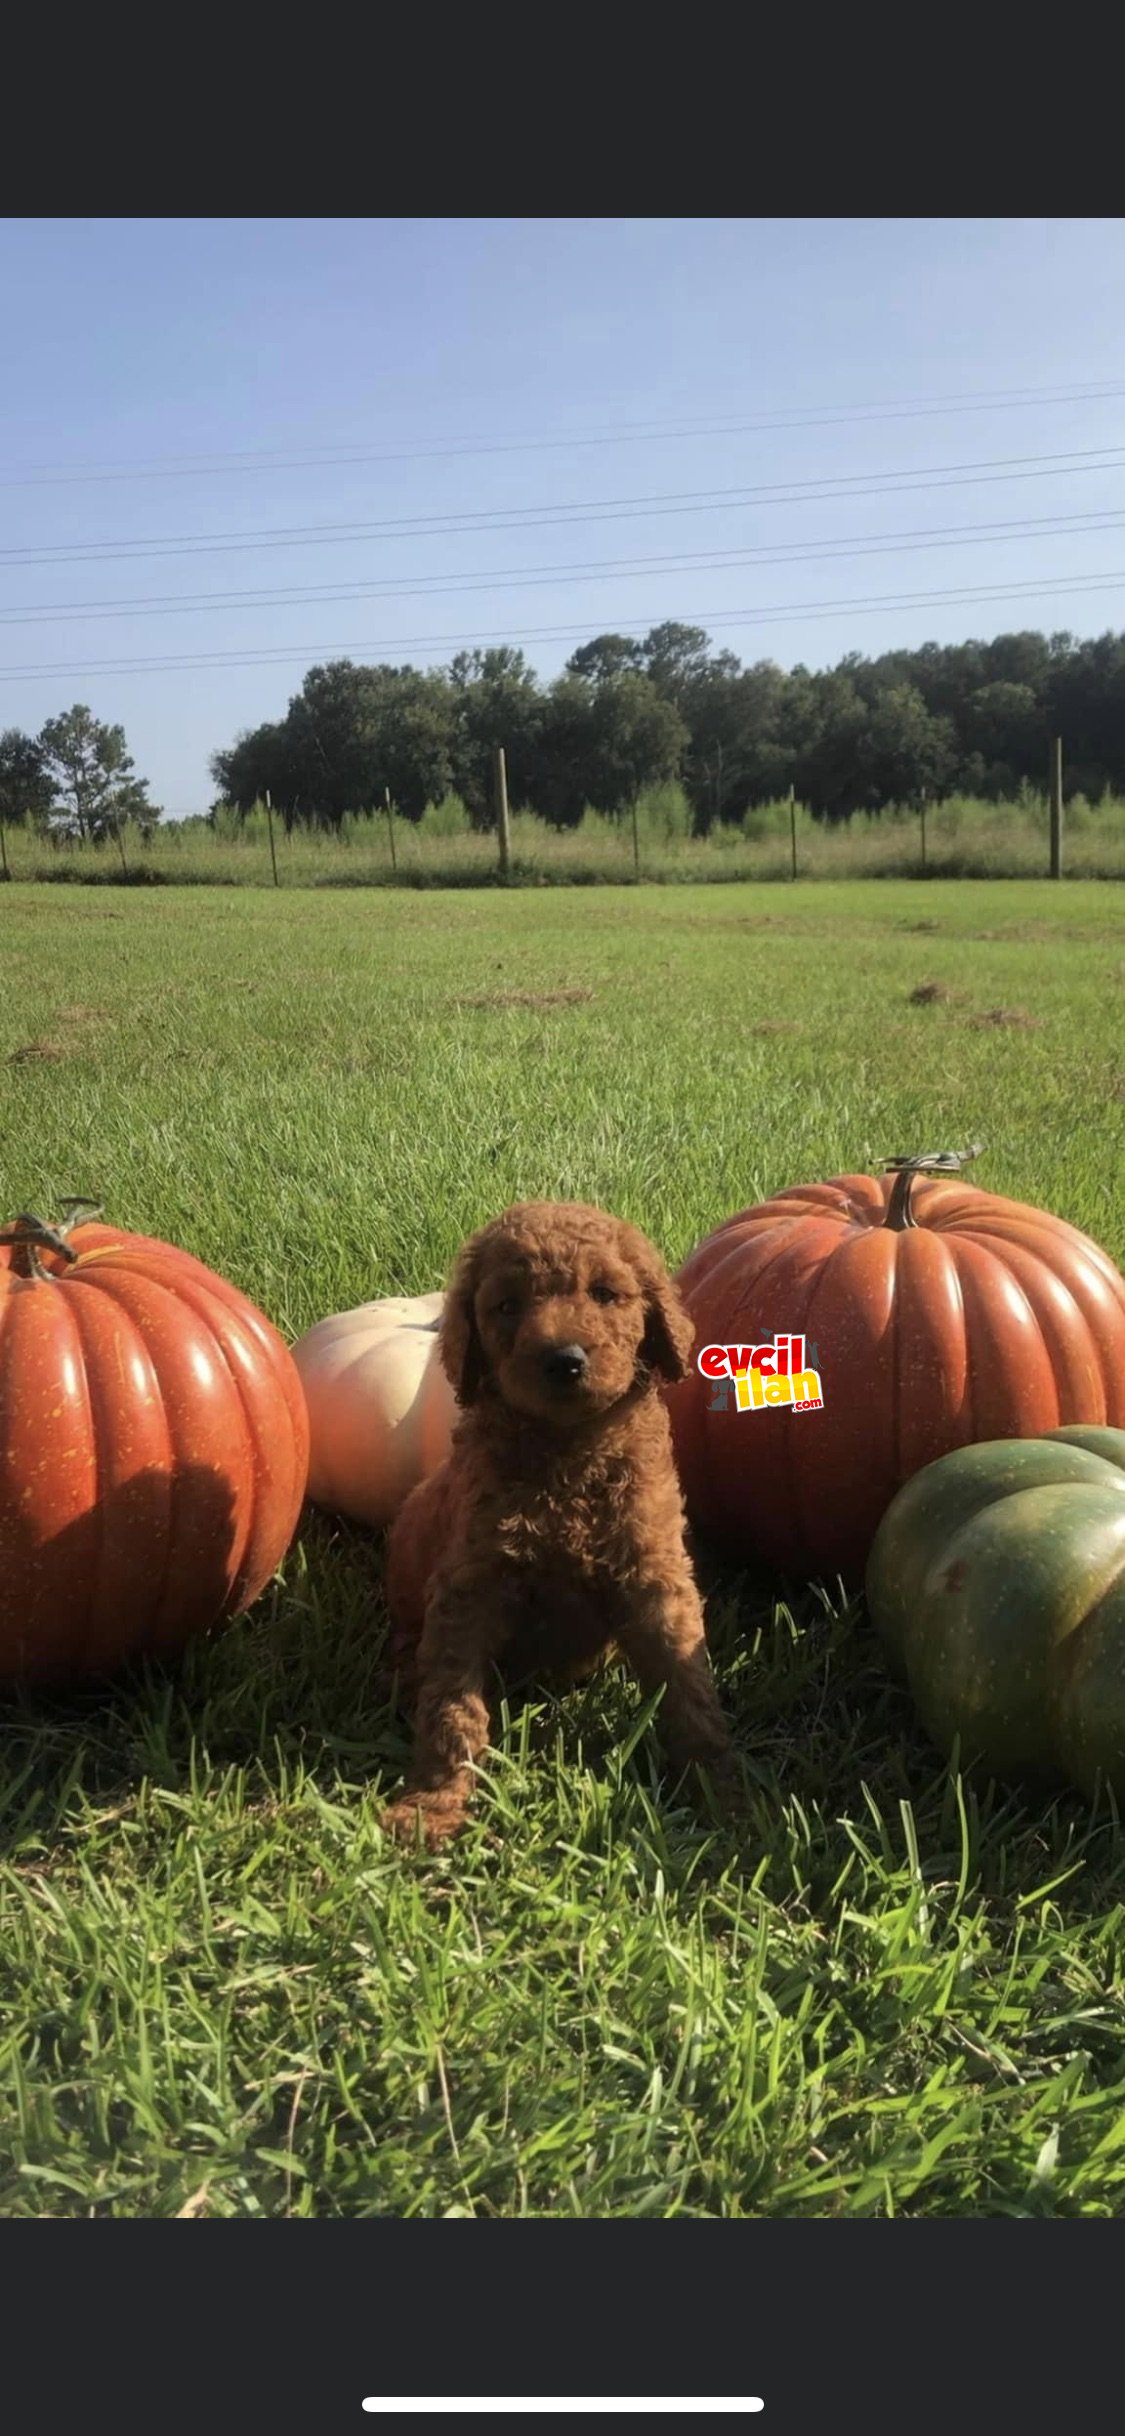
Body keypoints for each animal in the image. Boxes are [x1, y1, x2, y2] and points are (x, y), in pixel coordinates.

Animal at [384, 1198, 740, 1841]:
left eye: (603, 1294)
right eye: (507, 1306)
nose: (564, 1361)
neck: (568, 1452)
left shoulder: (655, 1573)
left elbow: (689, 1686)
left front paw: (723, 1795)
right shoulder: (468, 1585)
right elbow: (451, 1703)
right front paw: (434, 1803)